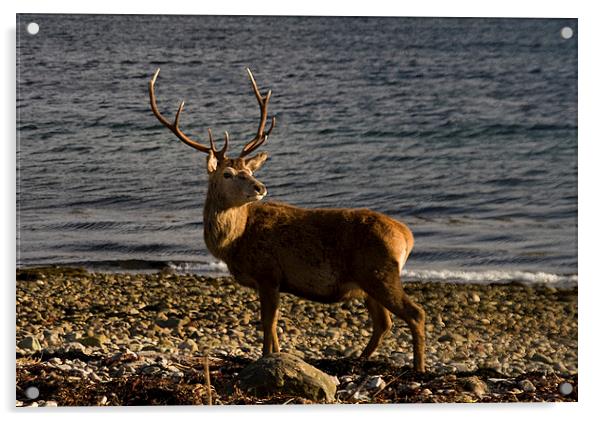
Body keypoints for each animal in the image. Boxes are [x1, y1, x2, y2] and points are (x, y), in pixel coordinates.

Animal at [147, 66, 424, 370]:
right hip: (368, 281)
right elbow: (274, 324)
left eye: (249, 170)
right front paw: (278, 357)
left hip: (380, 272)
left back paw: (419, 368)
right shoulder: (272, 280)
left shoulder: (267, 272)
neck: (234, 243)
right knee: (383, 322)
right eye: (227, 174)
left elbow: (268, 323)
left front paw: (265, 356)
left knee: (415, 313)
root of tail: (407, 237)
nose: (260, 187)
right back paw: (358, 360)